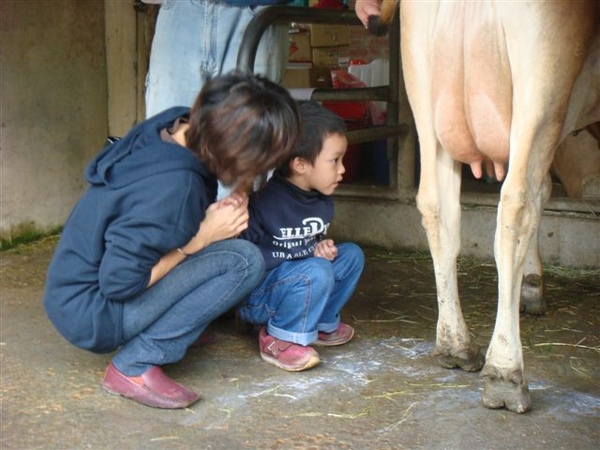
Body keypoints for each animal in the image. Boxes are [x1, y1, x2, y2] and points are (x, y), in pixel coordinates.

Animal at [366, 0, 600, 414]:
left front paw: (531, 285)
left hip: (421, 81)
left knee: (437, 207)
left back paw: (455, 344)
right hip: (540, 86)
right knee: (518, 203)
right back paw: (506, 372)